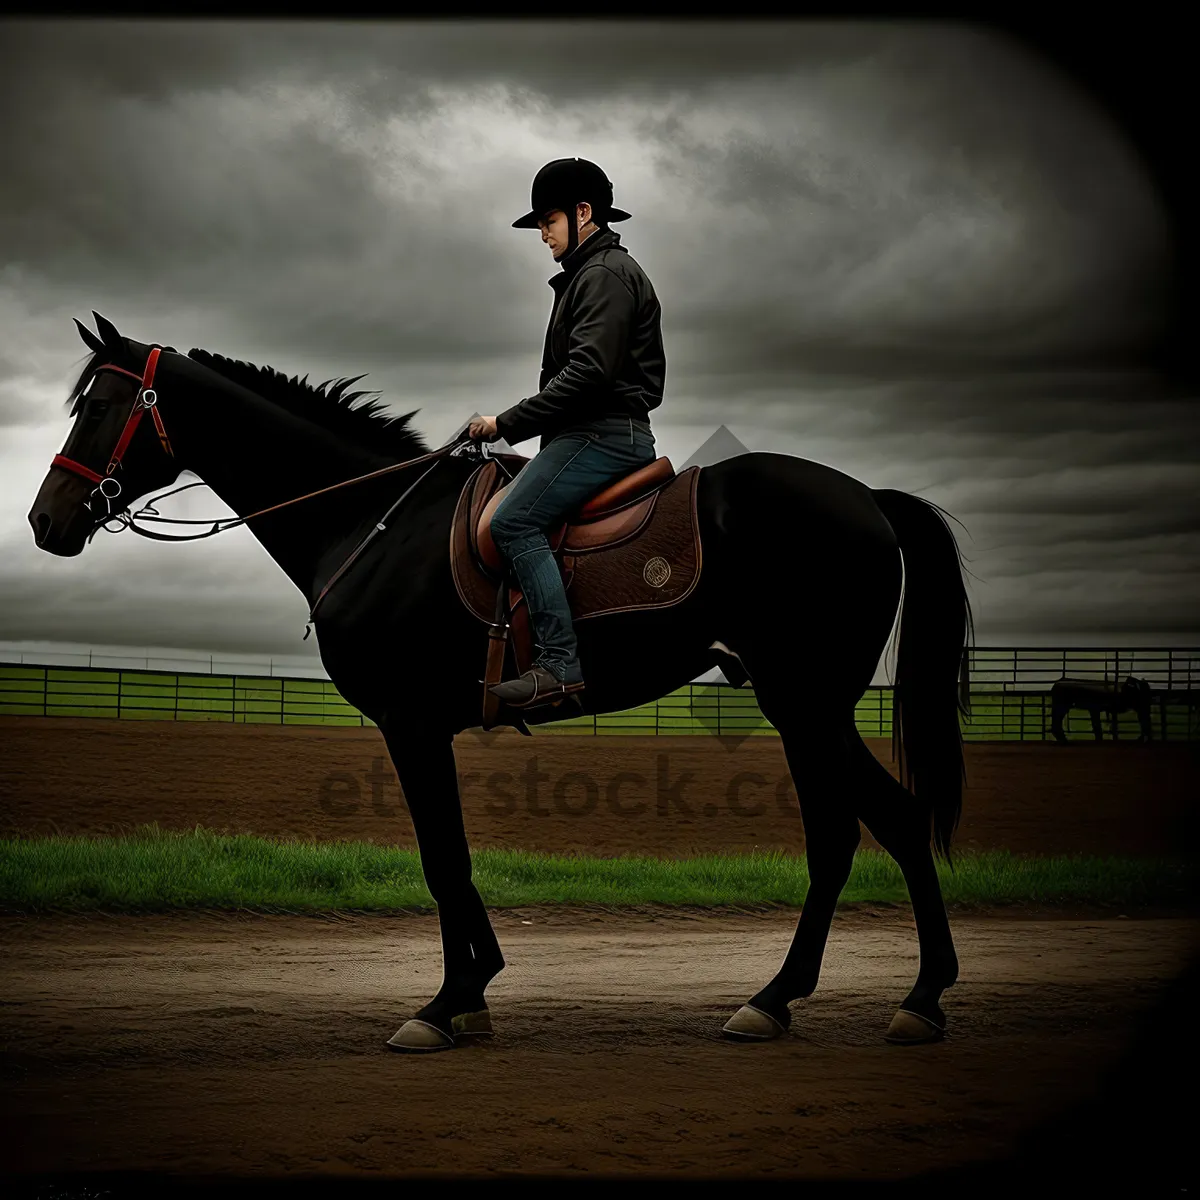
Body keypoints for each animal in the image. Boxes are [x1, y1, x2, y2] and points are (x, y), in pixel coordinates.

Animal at [25, 316, 974, 1051]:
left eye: (100, 407)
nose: (42, 521)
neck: (373, 526)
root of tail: (868, 498)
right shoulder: (424, 729)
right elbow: (454, 858)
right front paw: (475, 991)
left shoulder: (409, 724)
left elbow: (442, 859)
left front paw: (445, 1005)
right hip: (810, 709)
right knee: (879, 825)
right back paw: (869, 998)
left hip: (805, 705)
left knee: (858, 830)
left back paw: (837, 999)